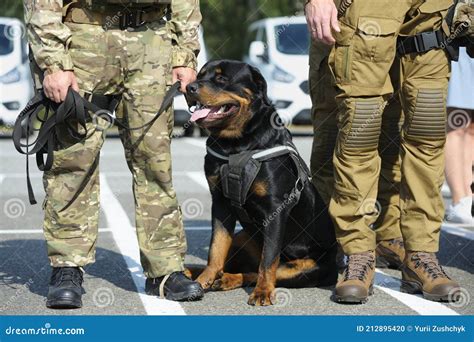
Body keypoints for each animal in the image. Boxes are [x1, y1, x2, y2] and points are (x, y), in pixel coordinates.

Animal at [185, 60, 336, 306]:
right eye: (200, 75)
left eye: (222, 79)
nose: (189, 87)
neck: (235, 145)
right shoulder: (220, 204)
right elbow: (216, 249)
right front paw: (203, 280)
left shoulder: (276, 209)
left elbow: (268, 260)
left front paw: (263, 292)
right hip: (242, 238)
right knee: (239, 263)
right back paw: (199, 272)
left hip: (307, 267)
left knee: (259, 270)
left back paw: (229, 280)